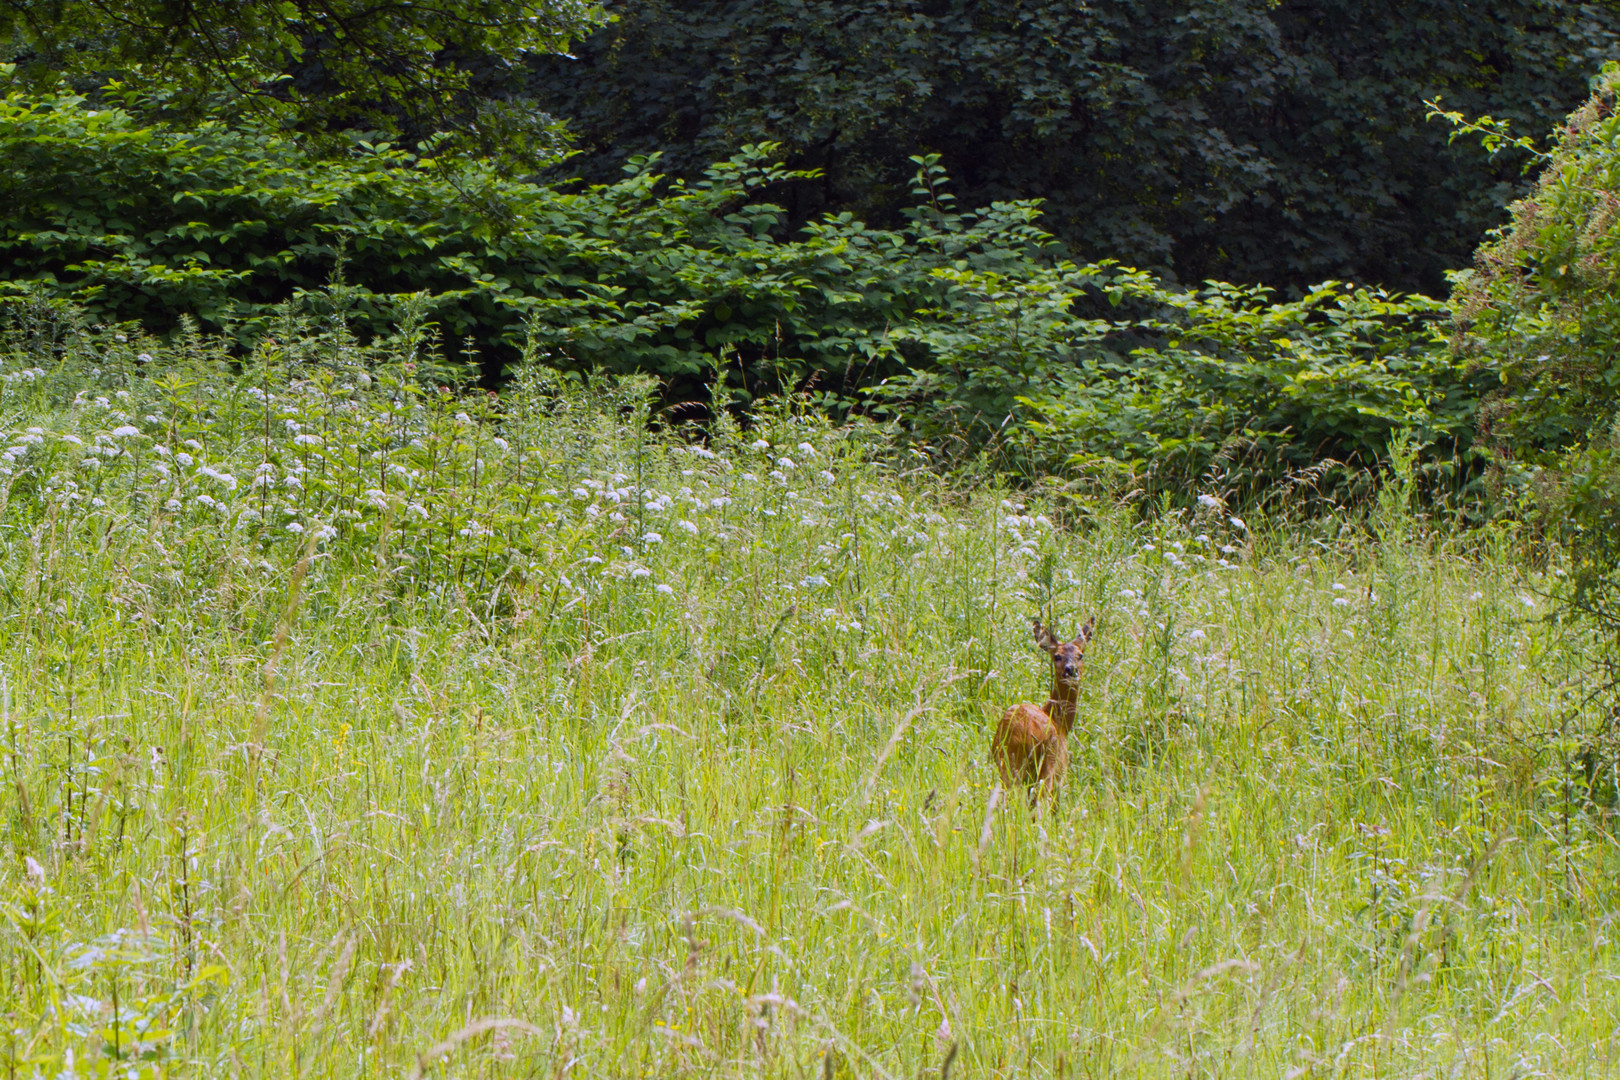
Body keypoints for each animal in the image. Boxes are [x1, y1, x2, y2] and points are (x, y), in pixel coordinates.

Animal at [991, 621, 1095, 806]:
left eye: (1080, 655)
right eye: (1057, 656)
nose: (1071, 670)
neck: (1059, 722)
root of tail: (1021, 733)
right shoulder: (1060, 772)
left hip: (1004, 764)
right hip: (1046, 766)